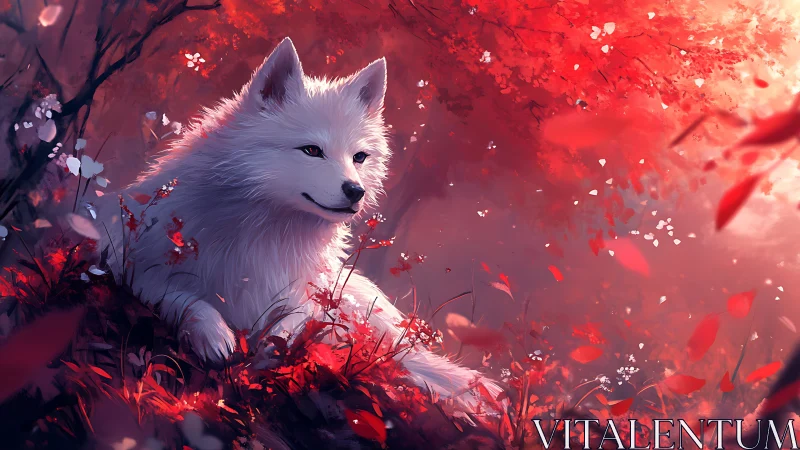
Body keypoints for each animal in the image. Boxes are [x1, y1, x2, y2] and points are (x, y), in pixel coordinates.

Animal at [96, 38, 500, 408]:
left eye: (359, 157)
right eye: (311, 150)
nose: (355, 191)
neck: (267, 232)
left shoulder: (304, 293)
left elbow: (300, 318)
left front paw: (273, 347)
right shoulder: (128, 263)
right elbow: (180, 296)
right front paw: (214, 335)